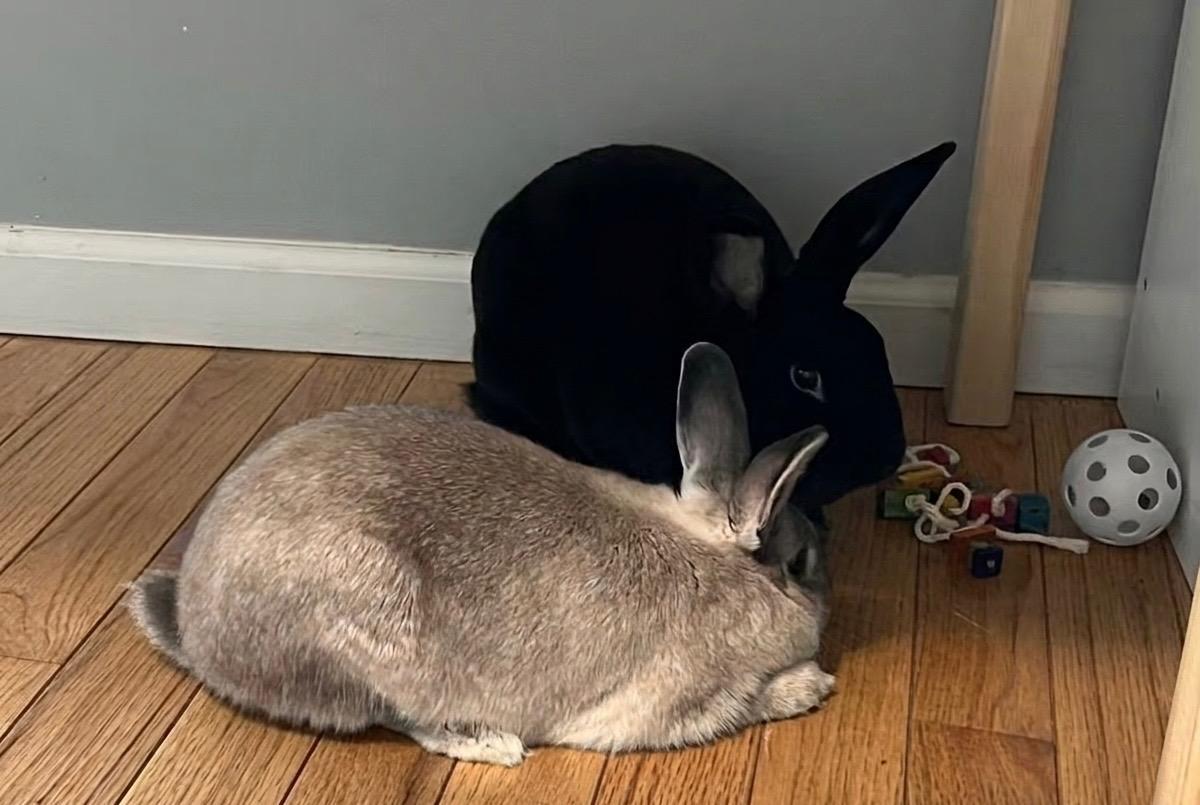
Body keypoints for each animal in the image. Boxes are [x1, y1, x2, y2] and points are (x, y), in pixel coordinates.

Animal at [128, 342, 834, 767]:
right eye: (802, 562)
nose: (827, 594)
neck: (717, 558)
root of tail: (196, 634)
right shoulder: (687, 702)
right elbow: (747, 704)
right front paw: (814, 686)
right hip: (363, 630)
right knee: (397, 715)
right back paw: (492, 744)